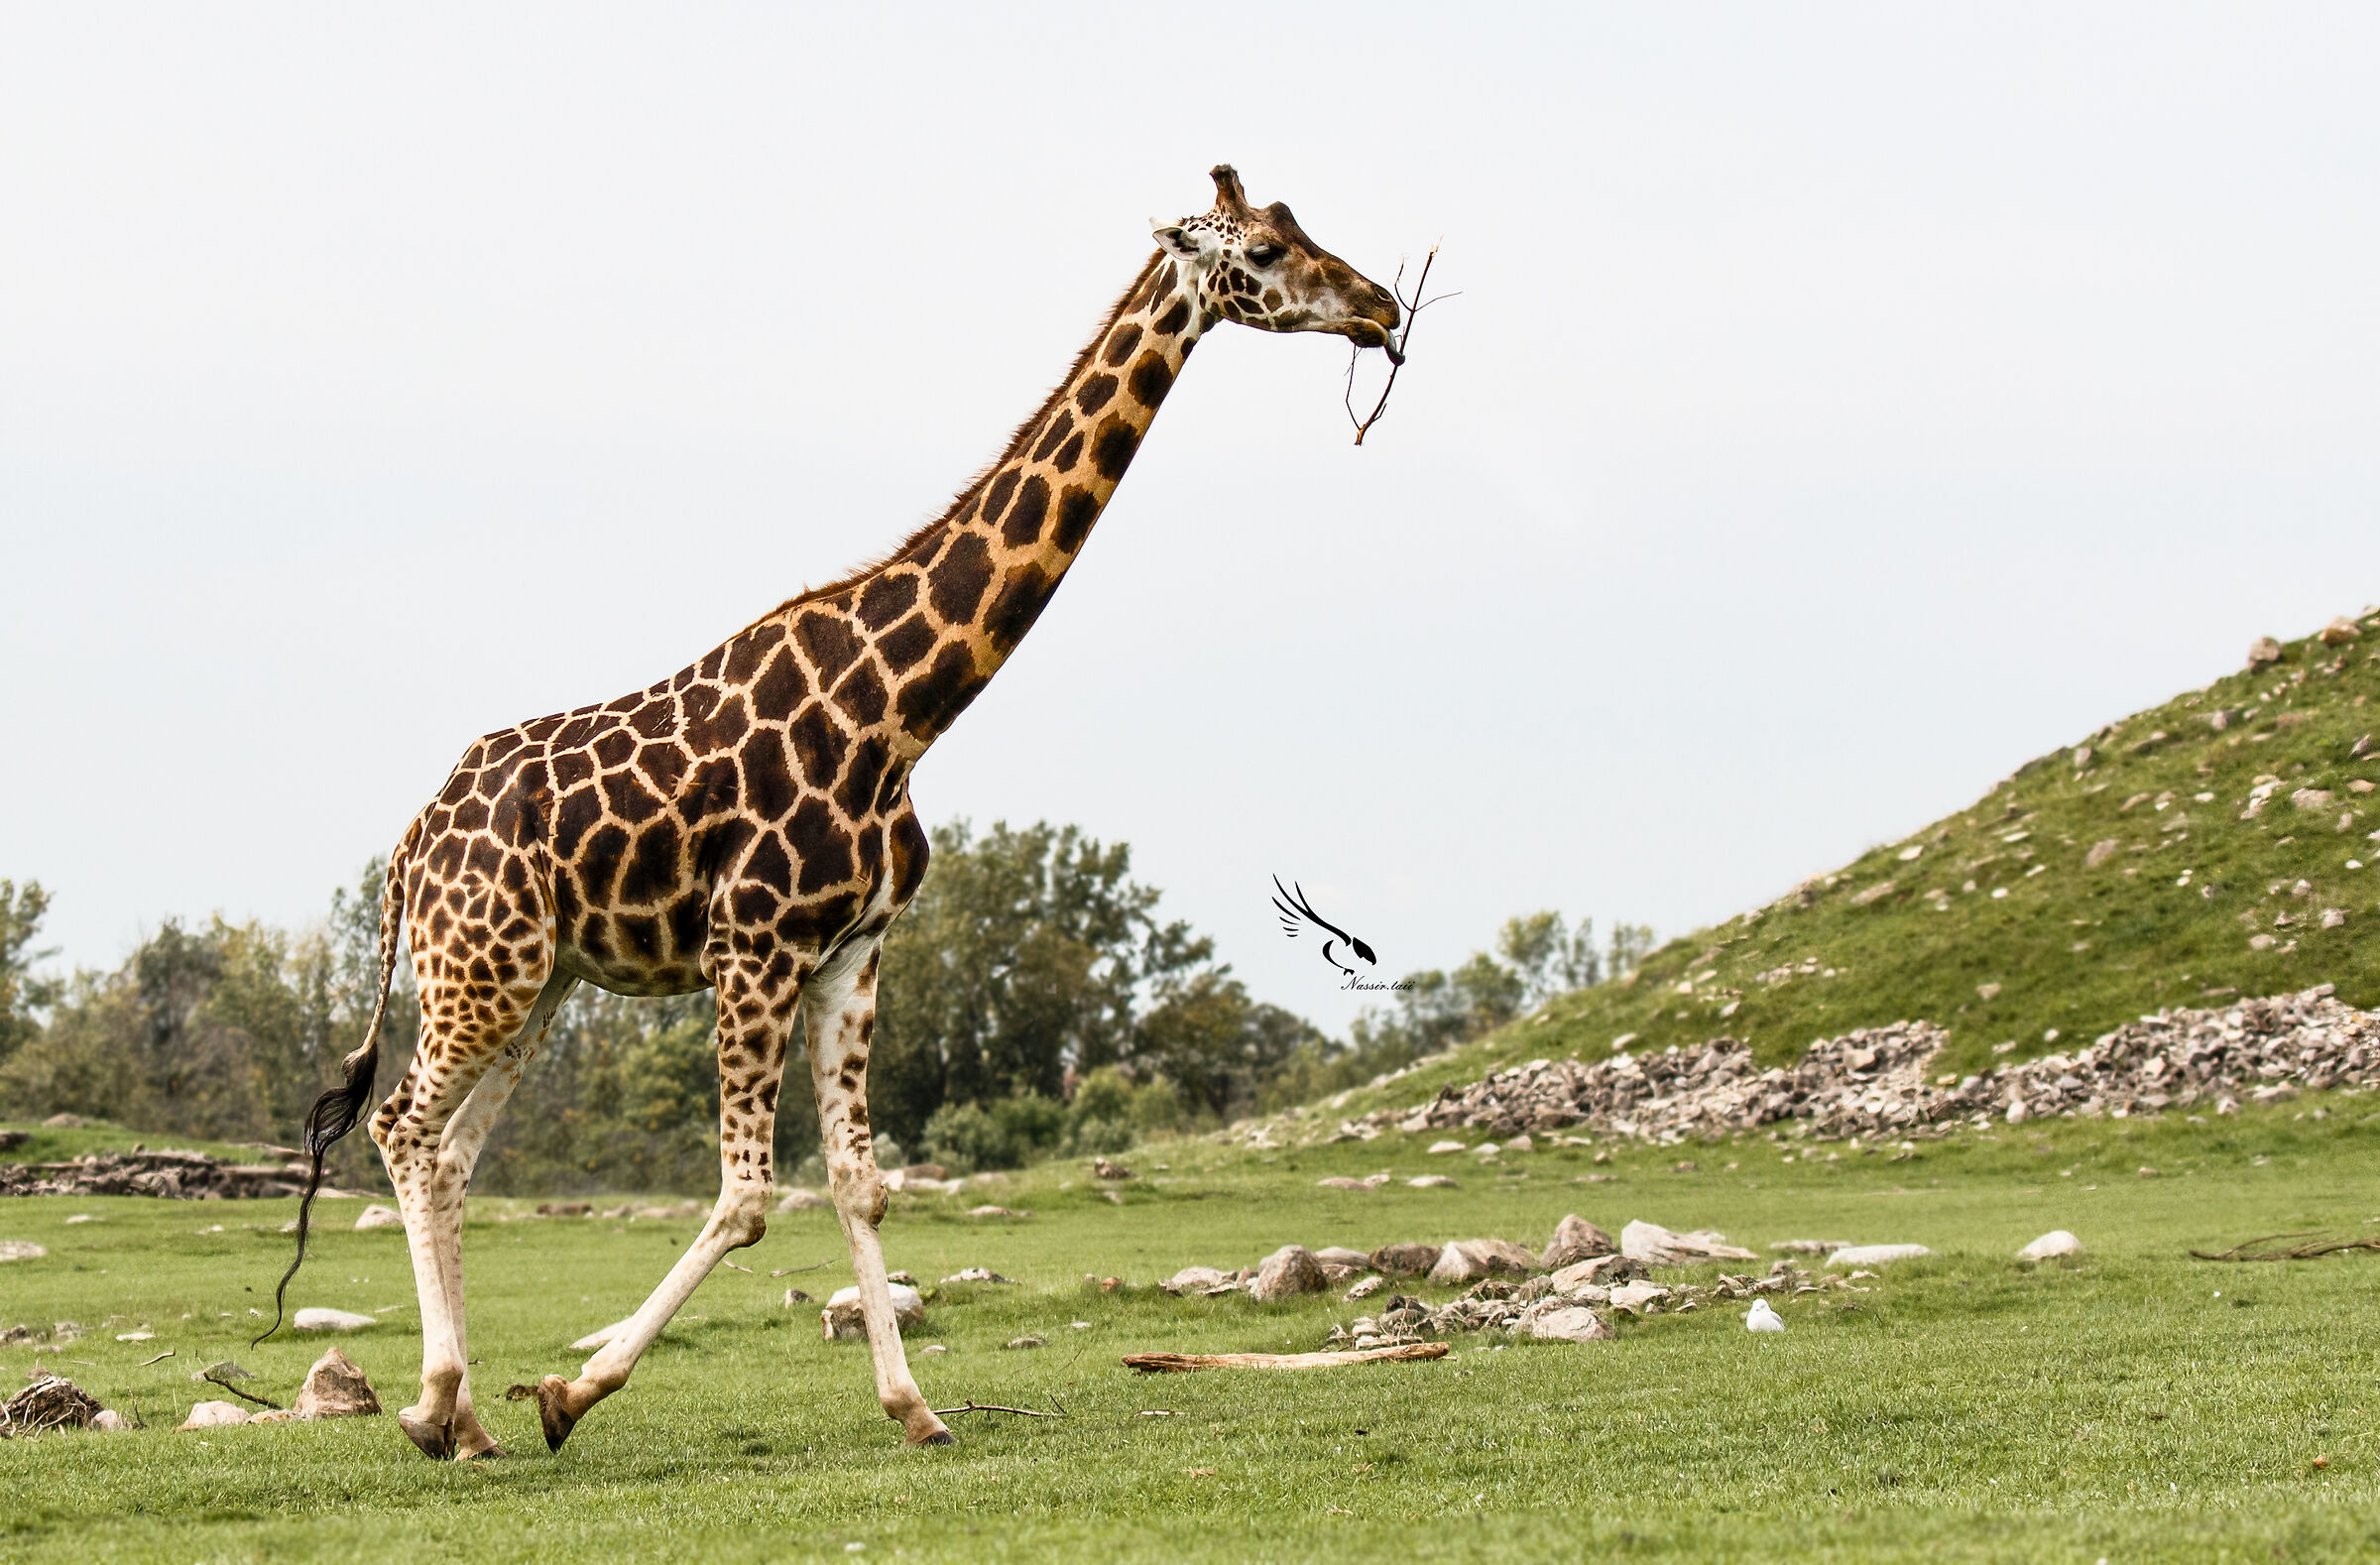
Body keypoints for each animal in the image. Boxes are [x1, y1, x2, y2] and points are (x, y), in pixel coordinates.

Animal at [276, 165, 1403, 1460]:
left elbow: (861, 1183)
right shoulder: (751, 946)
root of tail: (411, 844)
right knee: (404, 1129)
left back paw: (465, 1421)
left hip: (534, 981)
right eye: (1263, 251)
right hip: (481, 967)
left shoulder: (853, 951)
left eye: (1302, 226)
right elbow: (748, 1195)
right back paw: (433, 1402)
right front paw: (572, 1390)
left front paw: (917, 1410)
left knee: (452, 1153)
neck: (899, 714)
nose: (1380, 308)